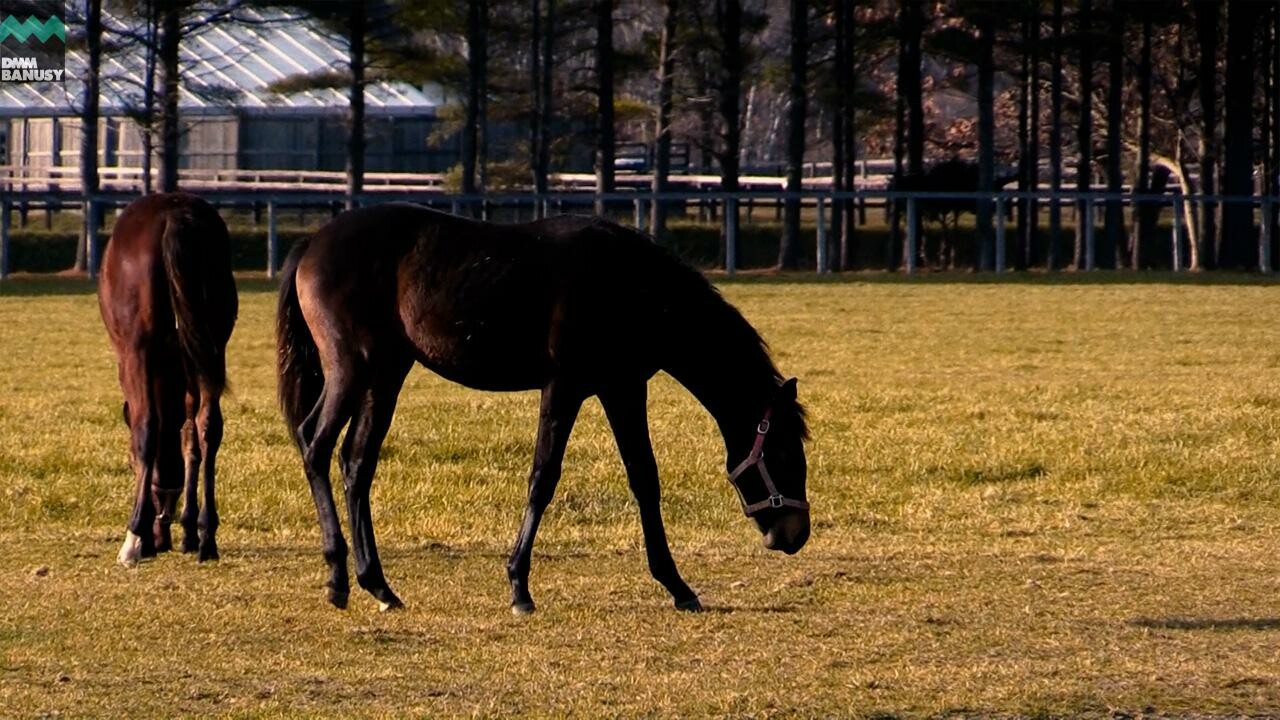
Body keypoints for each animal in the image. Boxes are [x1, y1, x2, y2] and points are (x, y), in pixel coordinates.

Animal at [99, 190, 238, 566]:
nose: (161, 535)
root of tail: (176, 216)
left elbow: (149, 431)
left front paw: (145, 535)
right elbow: (190, 438)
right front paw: (190, 529)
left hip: (139, 350)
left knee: (148, 425)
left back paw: (133, 538)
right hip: (213, 346)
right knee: (210, 426)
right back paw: (208, 536)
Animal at [277, 202, 808, 609]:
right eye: (784, 455)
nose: (795, 533)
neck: (631, 284)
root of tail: (313, 243)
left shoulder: (623, 388)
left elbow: (644, 477)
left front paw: (677, 586)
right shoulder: (565, 387)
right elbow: (543, 476)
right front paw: (519, 586)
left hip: (384, 376)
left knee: (356, 463)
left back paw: (378, 585)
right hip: (352, 369)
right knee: (316, 447)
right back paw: (338, 578)